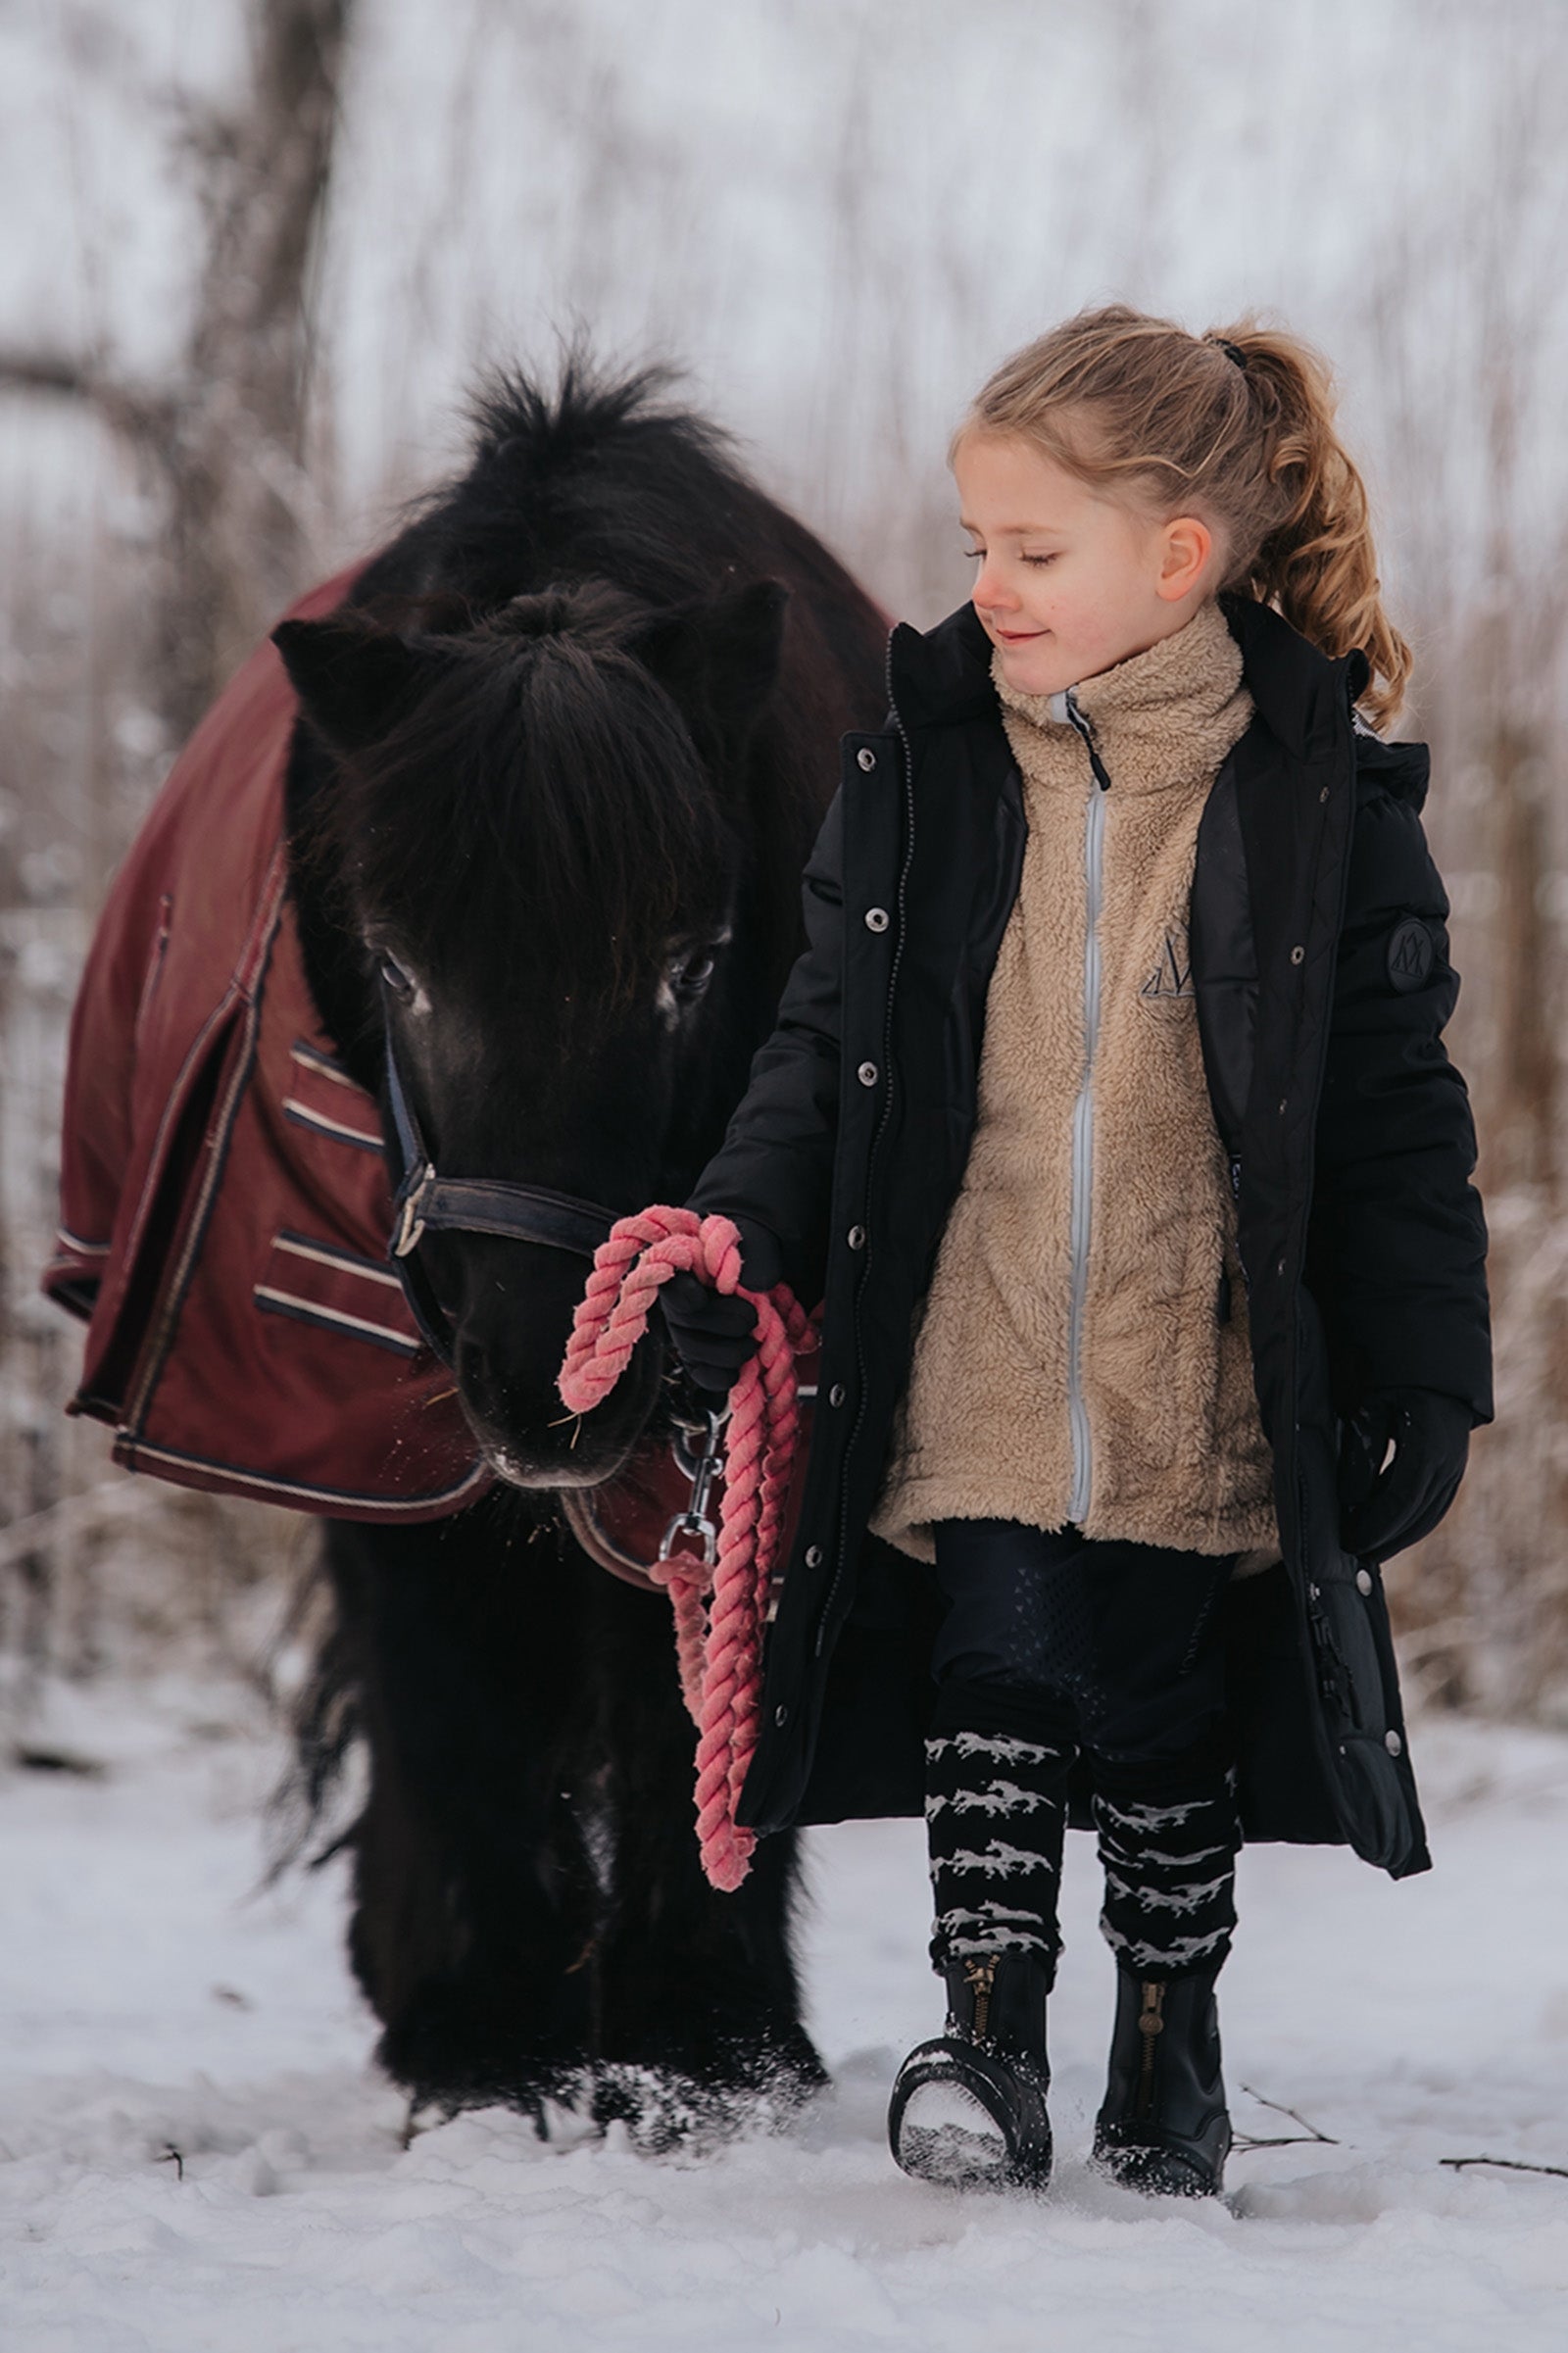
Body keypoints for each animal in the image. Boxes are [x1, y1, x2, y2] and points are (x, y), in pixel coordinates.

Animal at [272, 362, 889, 2138]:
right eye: (397, 966)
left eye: (691, 960)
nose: (554, 1388)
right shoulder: (374, 1421)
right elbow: (439, 1675)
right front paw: (480, 2038)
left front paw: (704, 2045)